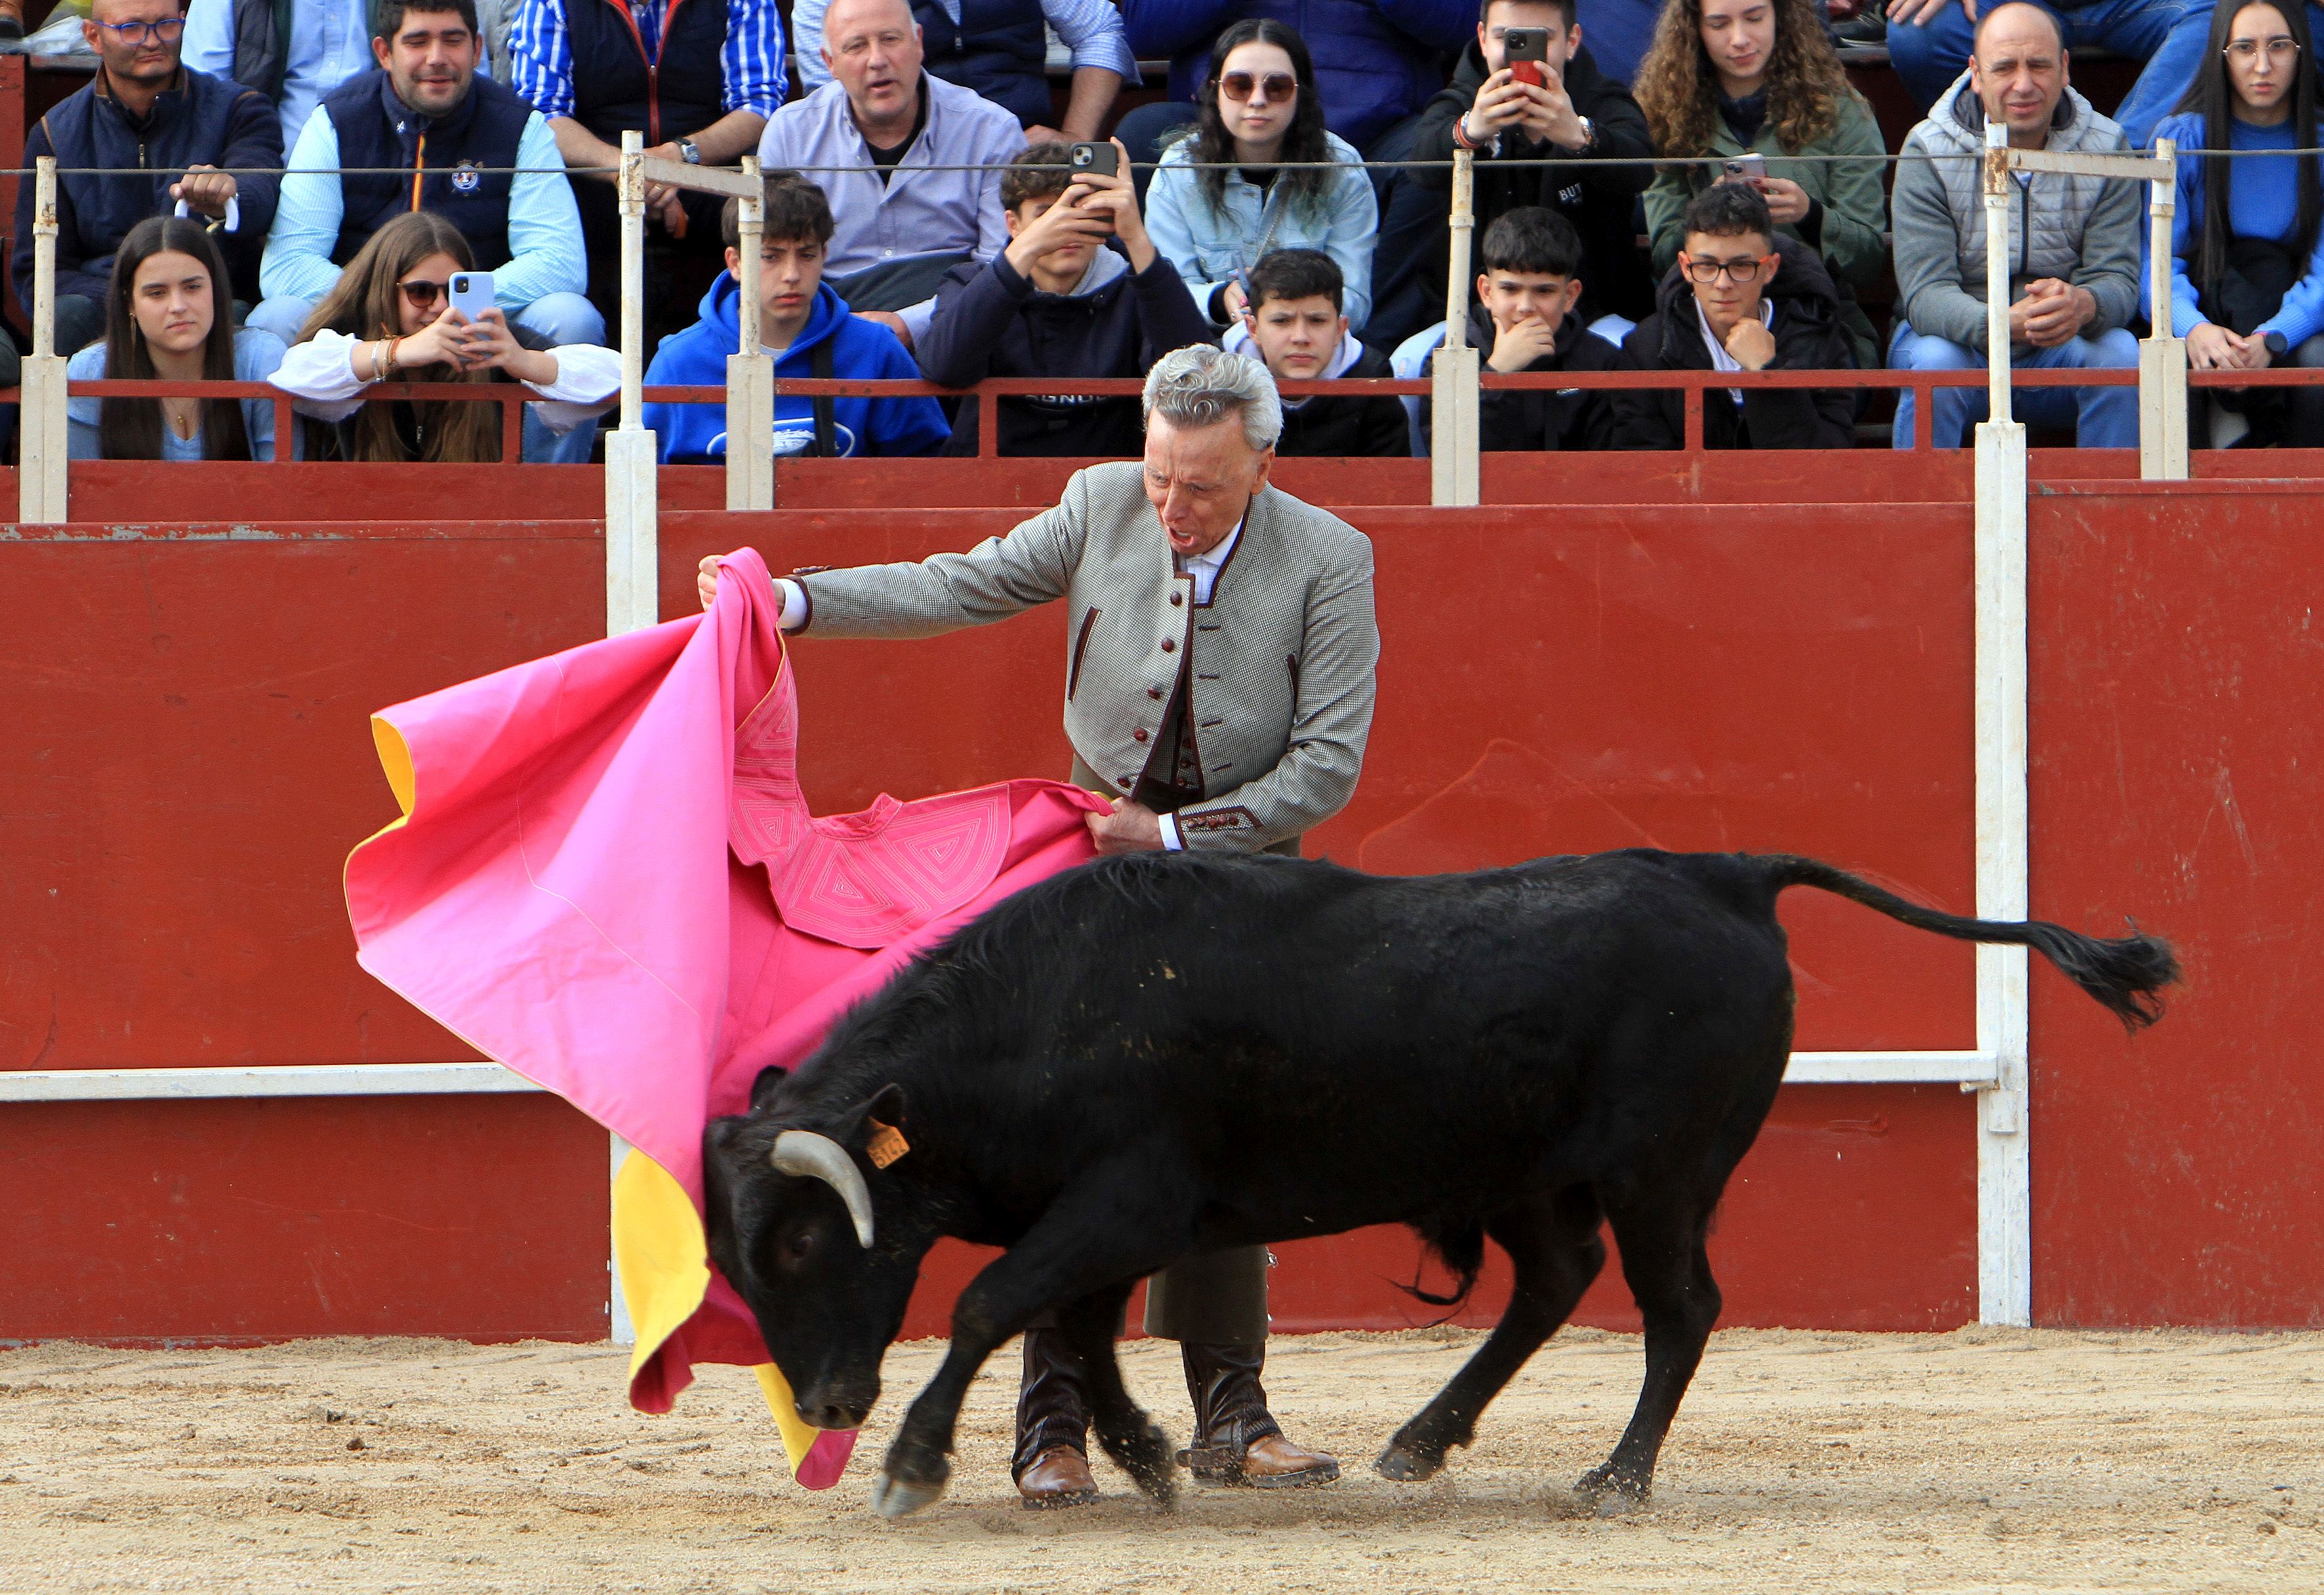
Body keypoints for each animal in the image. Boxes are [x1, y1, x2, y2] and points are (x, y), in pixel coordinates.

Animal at [701, 851, 2175, 1516]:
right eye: (736, 1257)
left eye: (801, 1247)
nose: (822, 1403)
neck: (1033, 1016)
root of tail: (1728, 874)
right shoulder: (1113, 1217)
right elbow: (1070, 1324)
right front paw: (1147, 1457)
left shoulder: (1123, 1202)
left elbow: (987, 1303)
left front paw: (909, 1463)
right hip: (1527, 1174)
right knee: (1557, 1283)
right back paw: (1421, 1436)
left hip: (1660, 1169)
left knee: (1678, 1306)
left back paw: (1614, 1476)